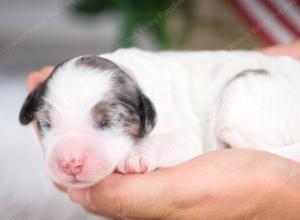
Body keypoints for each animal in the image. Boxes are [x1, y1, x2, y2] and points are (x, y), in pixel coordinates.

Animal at [19, 48, 300, 187]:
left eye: (109, 121)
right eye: (45, 124)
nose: (70, 163)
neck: (131, 74)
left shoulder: (184, 133)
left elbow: (170, 141)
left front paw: (135, 157)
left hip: (242, 95)